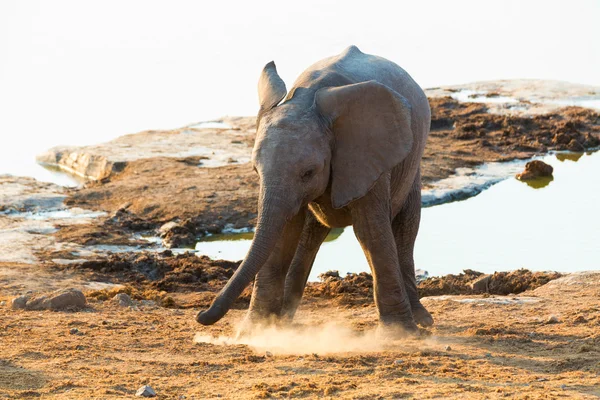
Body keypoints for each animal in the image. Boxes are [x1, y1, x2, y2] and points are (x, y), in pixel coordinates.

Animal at [199, 45, 434, 334]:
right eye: (255, 170)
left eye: (308, 172)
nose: (201, 315)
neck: (305, 99)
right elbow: (284, 231)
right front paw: (257, 331)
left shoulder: (367, 154)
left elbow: (370, 231)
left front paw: (397, 335)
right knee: (309, 235)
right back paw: (284, 320)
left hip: (411, 164)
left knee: (404, 228)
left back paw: (422, 321)